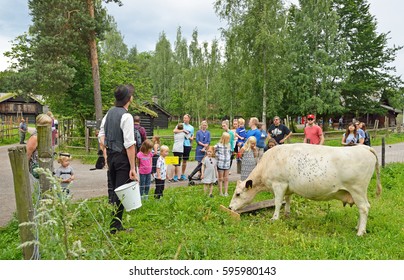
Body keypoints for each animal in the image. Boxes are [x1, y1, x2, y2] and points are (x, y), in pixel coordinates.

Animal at [230, 142, 382, 236]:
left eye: (238, 194)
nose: (230, 207)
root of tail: (364, 147)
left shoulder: (279, 184)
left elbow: (278, 202)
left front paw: (275, 218)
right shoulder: (288, 186)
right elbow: (287, 200)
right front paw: (287, 214)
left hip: (357, 189)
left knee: (364, 208)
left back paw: (360, 232)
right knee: (362, 208)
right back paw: (358, 227)